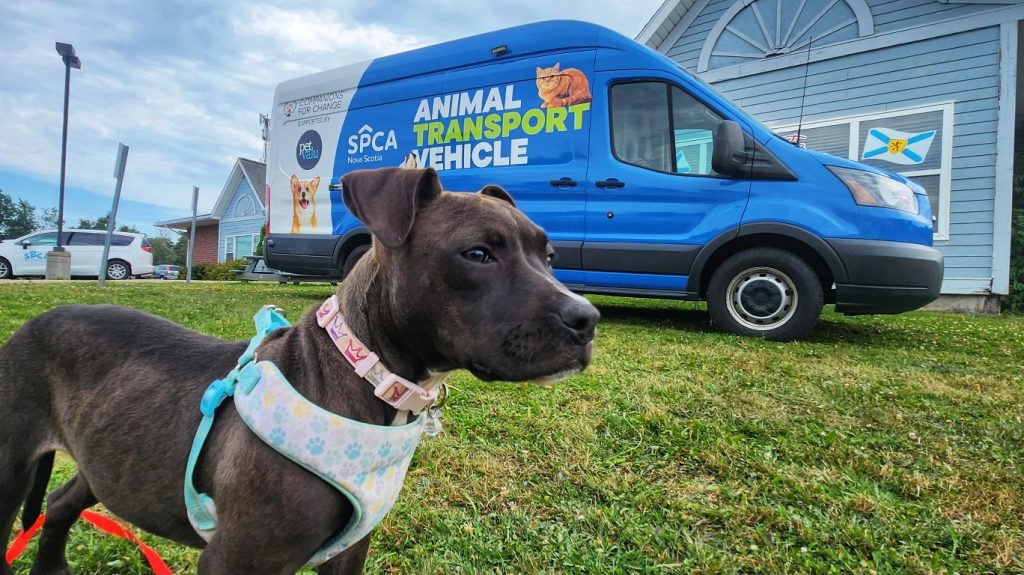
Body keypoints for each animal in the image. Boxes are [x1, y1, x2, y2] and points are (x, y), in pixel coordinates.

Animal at [0, 167, 599, 575]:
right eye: (477, 254)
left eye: (549, 256)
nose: (587, 319)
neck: (365, 375)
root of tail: (38, 319)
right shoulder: (234, 560)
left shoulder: (350, 551)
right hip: (12, 463)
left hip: (109, 459)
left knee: (60, 501)